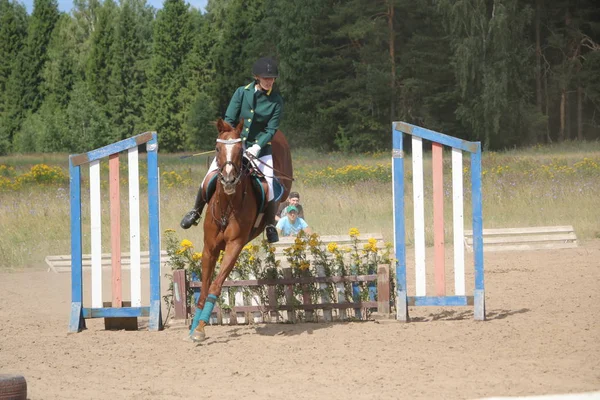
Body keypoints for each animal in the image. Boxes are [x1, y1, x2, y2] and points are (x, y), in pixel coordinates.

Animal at [186, 118, 292, 340]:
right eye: (218, 148)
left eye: (240, 149)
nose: (228, 180)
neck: (227, 205)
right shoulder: (209, 248)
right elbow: (204, 285)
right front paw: (194, 327)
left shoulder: (234, 247)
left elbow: (216, 285)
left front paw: (200, 327)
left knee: (277, 191)